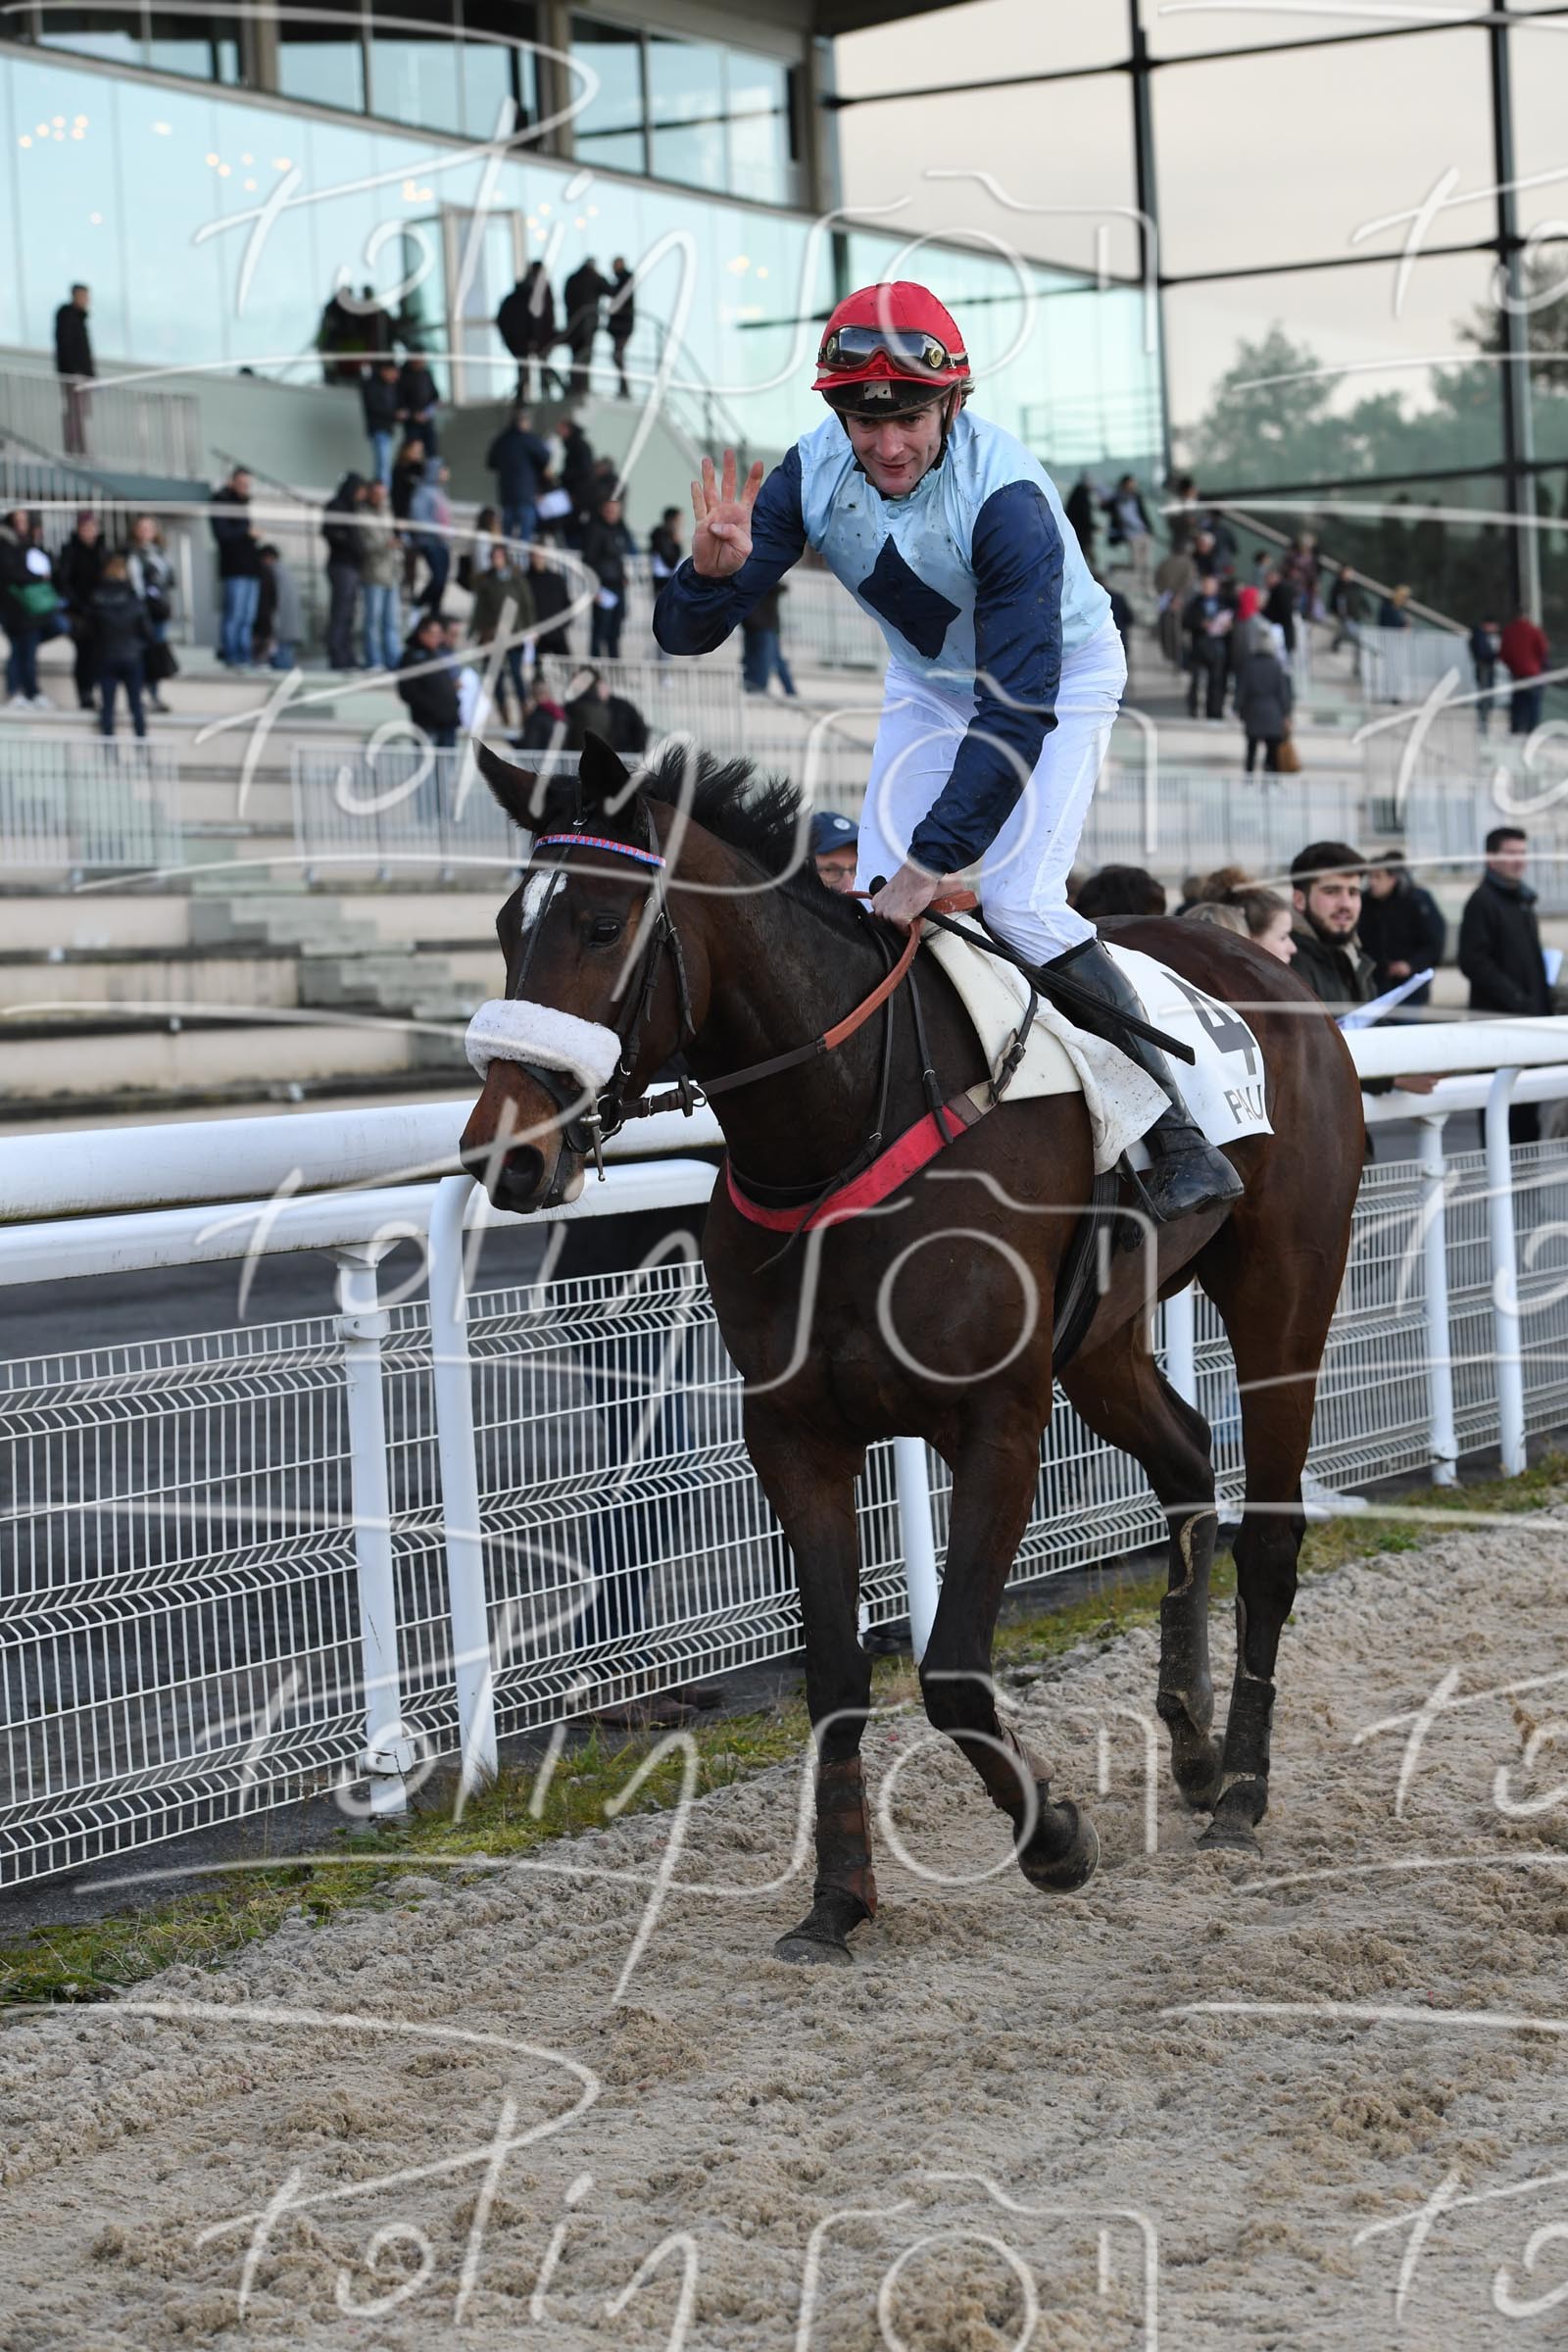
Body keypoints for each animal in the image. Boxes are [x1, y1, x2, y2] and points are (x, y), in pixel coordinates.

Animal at [460, 732, 1364, 1965]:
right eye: (510, 922)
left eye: (602, 924)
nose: (504, 1154)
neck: (839, 1128)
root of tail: (1275, 975)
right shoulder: (792, 1429)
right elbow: (836, 1672)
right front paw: (836, 1900)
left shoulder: (995, 1419)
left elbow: (951, 1673)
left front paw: (1055, 1838)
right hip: (1102, 1336)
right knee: (1186, 1465)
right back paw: (1189, 1745)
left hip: (1282, 1289)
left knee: (1268, 1536)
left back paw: (1240, 1793)